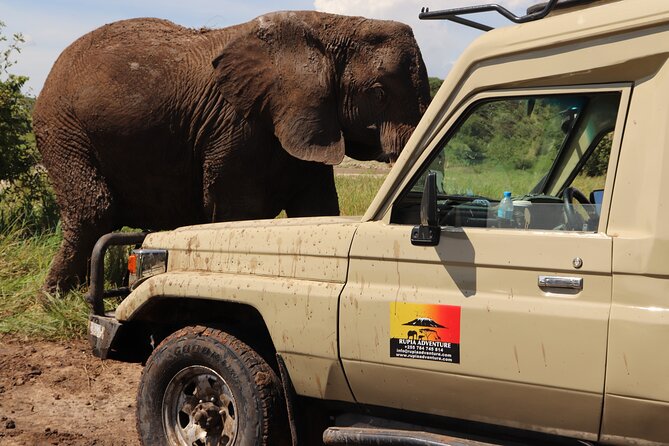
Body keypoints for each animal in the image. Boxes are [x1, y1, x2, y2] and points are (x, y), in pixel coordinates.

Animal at [33, 11, 431, 293]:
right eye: (378, 93)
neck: (329, 27)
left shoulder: (307, 122)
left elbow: (317, 209)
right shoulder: (236, 125)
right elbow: (239, 211)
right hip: (63, 129)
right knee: (93, 208)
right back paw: (57, 297)